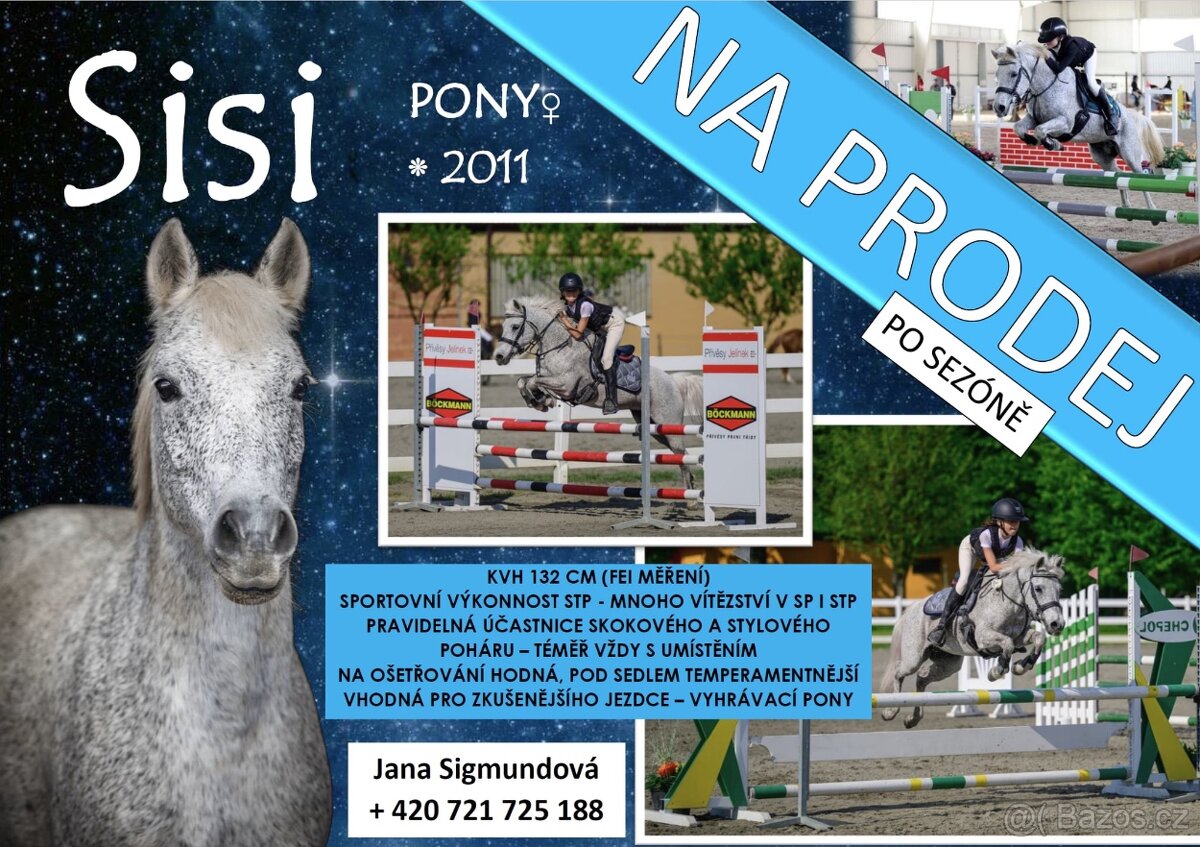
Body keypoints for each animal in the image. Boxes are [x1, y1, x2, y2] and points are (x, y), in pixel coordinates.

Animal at [492, 296, 704, 491]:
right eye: (502, 326)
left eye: (515, 326)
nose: (499, 357)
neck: (560, 344)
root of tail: (673, 381)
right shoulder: (550, 378)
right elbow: (523, 381)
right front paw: (538, 400)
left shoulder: (567, 385)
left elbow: (534, 381)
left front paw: (541, 400)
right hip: (654, 427)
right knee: (680, 454)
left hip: (668, 422)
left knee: (681, 453)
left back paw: (691, 496)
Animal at [879, 546, 1066, 728]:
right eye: (1039, 588)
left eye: (1059, 590)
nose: (1057, 624)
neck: (1008, 602)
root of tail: (912, 608)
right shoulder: (984, 637)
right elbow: (1007, 644)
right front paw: (995, 672)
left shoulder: (1019, 636)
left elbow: (1039, 638)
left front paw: (1021, 666)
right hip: (914, 658)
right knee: (899, 672)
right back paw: (890, 711)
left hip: (949, 663)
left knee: (922, 678)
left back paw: (913, 719)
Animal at [991, 43, 1165, 208]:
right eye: (997, 74)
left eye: (1014, 74)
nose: (999, 107)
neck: (1046, 86)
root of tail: (1130, 114)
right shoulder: (1034, 119)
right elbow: (1019, 128)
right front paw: (1033, 141)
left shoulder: (1066, 122)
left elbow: (1040, 130)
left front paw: (1052, 144)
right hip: (1102, 155)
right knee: (1118, 174)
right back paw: (1126, 206)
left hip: (1130, 153)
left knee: (1138, 175)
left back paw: (1151, 208)